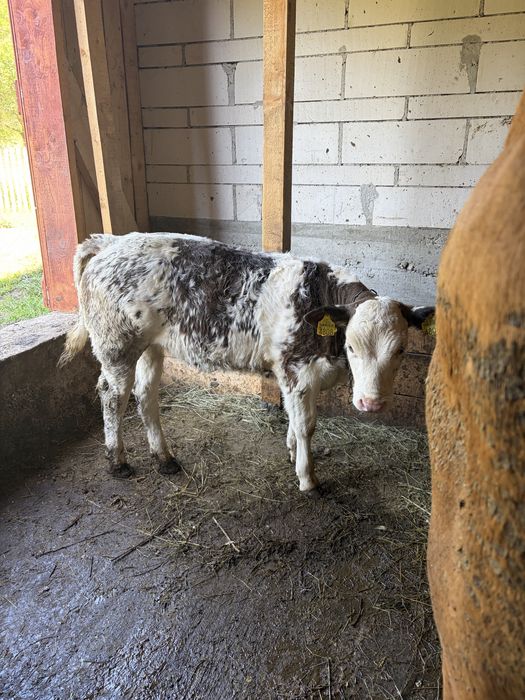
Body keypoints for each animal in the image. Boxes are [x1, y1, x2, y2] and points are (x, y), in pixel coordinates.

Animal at [60, 232, 433, 494]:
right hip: (116, 346)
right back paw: (117, 461)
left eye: (401, 350)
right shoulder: (297, 372)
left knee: (145, 395)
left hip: (151, 345)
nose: (371, 403)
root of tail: (112, 241)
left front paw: (291, 453)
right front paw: (308, 478)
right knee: (112, 396)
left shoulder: (291, 375)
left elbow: (293, 420)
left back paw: (164, 458)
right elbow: (306, 425)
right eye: (352, 346)